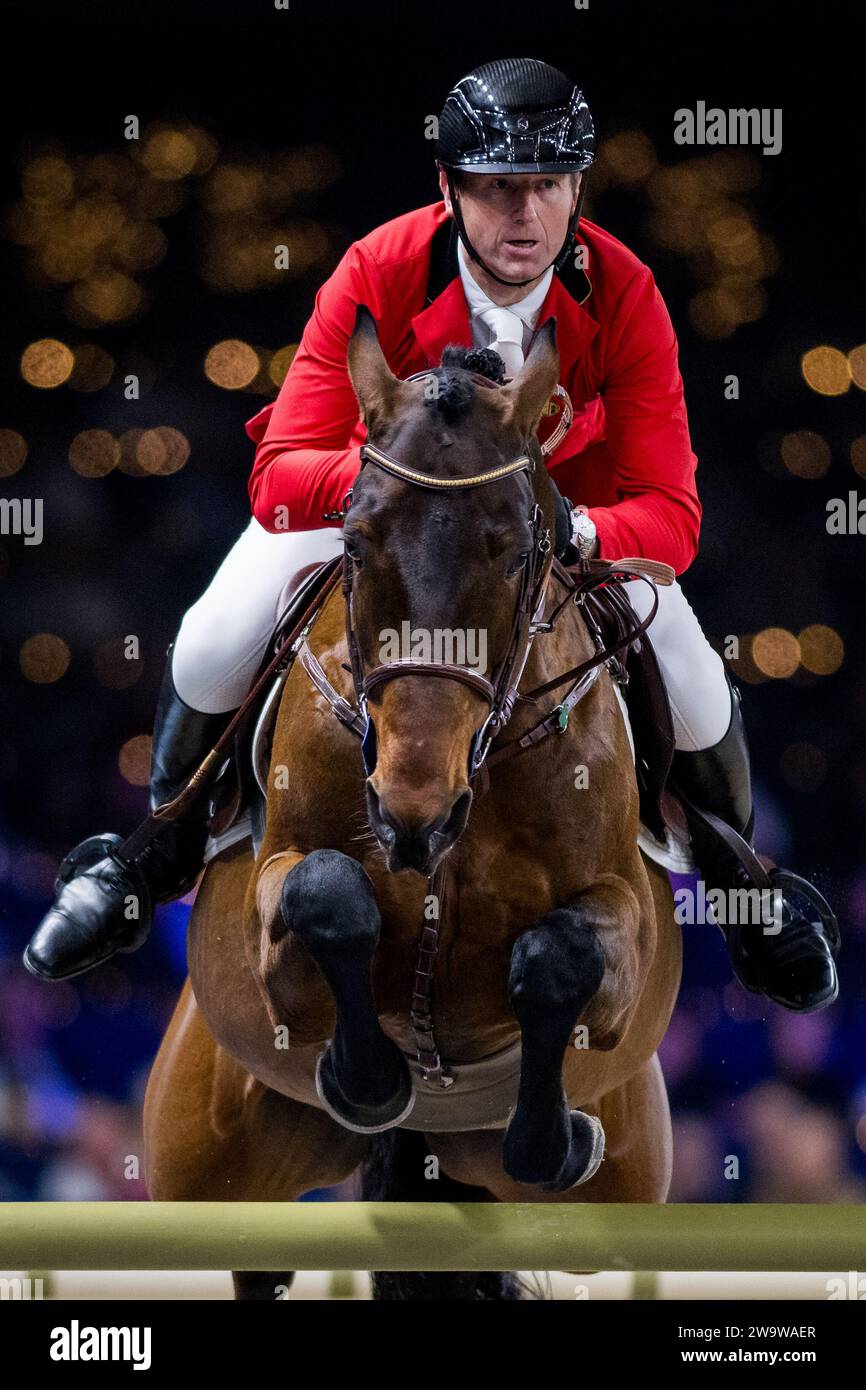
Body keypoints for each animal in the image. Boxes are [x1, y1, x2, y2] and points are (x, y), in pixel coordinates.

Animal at [143, 309, 683, 1295]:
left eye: (517, 552)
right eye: (356, 541)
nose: (411, 814)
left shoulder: (625, 913)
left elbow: (561, 954)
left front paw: (554, 1137)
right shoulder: (274, 894)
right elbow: (326, 893)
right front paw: (372, 1080)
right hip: (212, 1165)